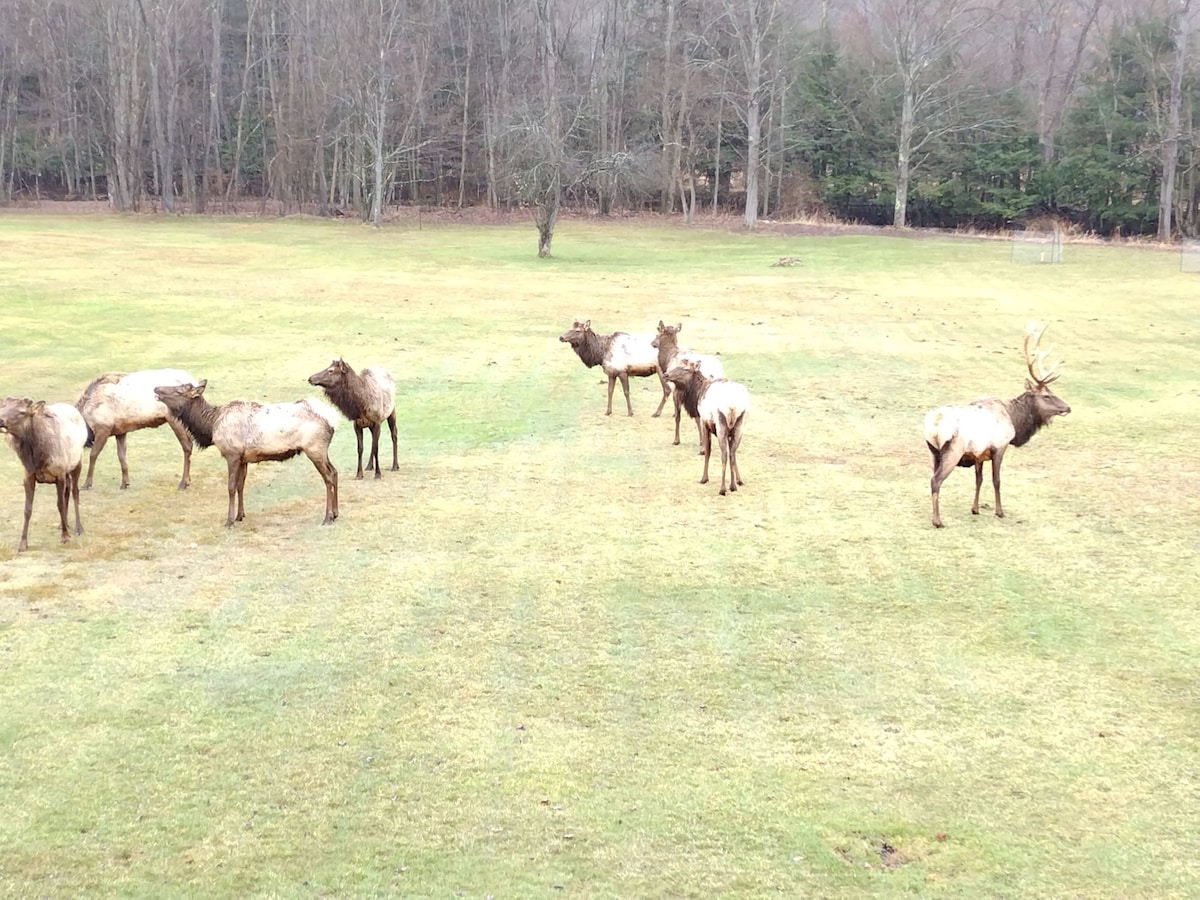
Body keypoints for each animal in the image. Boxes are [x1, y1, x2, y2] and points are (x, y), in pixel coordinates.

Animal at [0, 398, 88, 554]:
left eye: (22, 412)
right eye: (2, 407)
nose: (0, 419)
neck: (36, 458)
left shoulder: (59, 474)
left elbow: (59, 504)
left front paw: (65, 537)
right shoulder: (28, 476)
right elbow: (27, 510)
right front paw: (23, 544)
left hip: (77, 462)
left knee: (75, 492)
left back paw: (78, 528)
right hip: (67, 471)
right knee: (67, 491)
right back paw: (63, 523)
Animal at [154, 381, 340, 528]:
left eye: (179, 390)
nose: (156, 388)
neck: (210, 426)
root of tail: (332, 420)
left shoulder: (232, 454)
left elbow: (230, 487)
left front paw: (229, 520)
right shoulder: (244, 459)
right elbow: (240, 486)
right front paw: (239, 515)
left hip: (314, 448)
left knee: (328, 477)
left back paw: (328, 517)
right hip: (322, 450)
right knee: (335, 472)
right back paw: (336, 513)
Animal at [662, 360, 744, 496]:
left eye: (686, 369)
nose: (665, 374)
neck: (697, 393)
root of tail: (732, 406)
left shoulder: (705, 422)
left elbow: (707, 451)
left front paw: (704, 478)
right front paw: (739, 480)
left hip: (721, 425)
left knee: (724, 454)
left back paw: (722, 488)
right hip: (739, 426)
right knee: (732, 453)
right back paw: (732, 486)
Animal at [921, 324, 1075, 528]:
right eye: (1047, 395)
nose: (1067, 407)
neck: (1014, 419)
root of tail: (933, 426)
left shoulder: (978, 455)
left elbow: (979, 480)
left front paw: (975, 508)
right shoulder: (1000, 446)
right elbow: (997, 480)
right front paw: (1000, 511)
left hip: (933, 452)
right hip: (952, 451)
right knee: (935, 480)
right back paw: (937, 521)